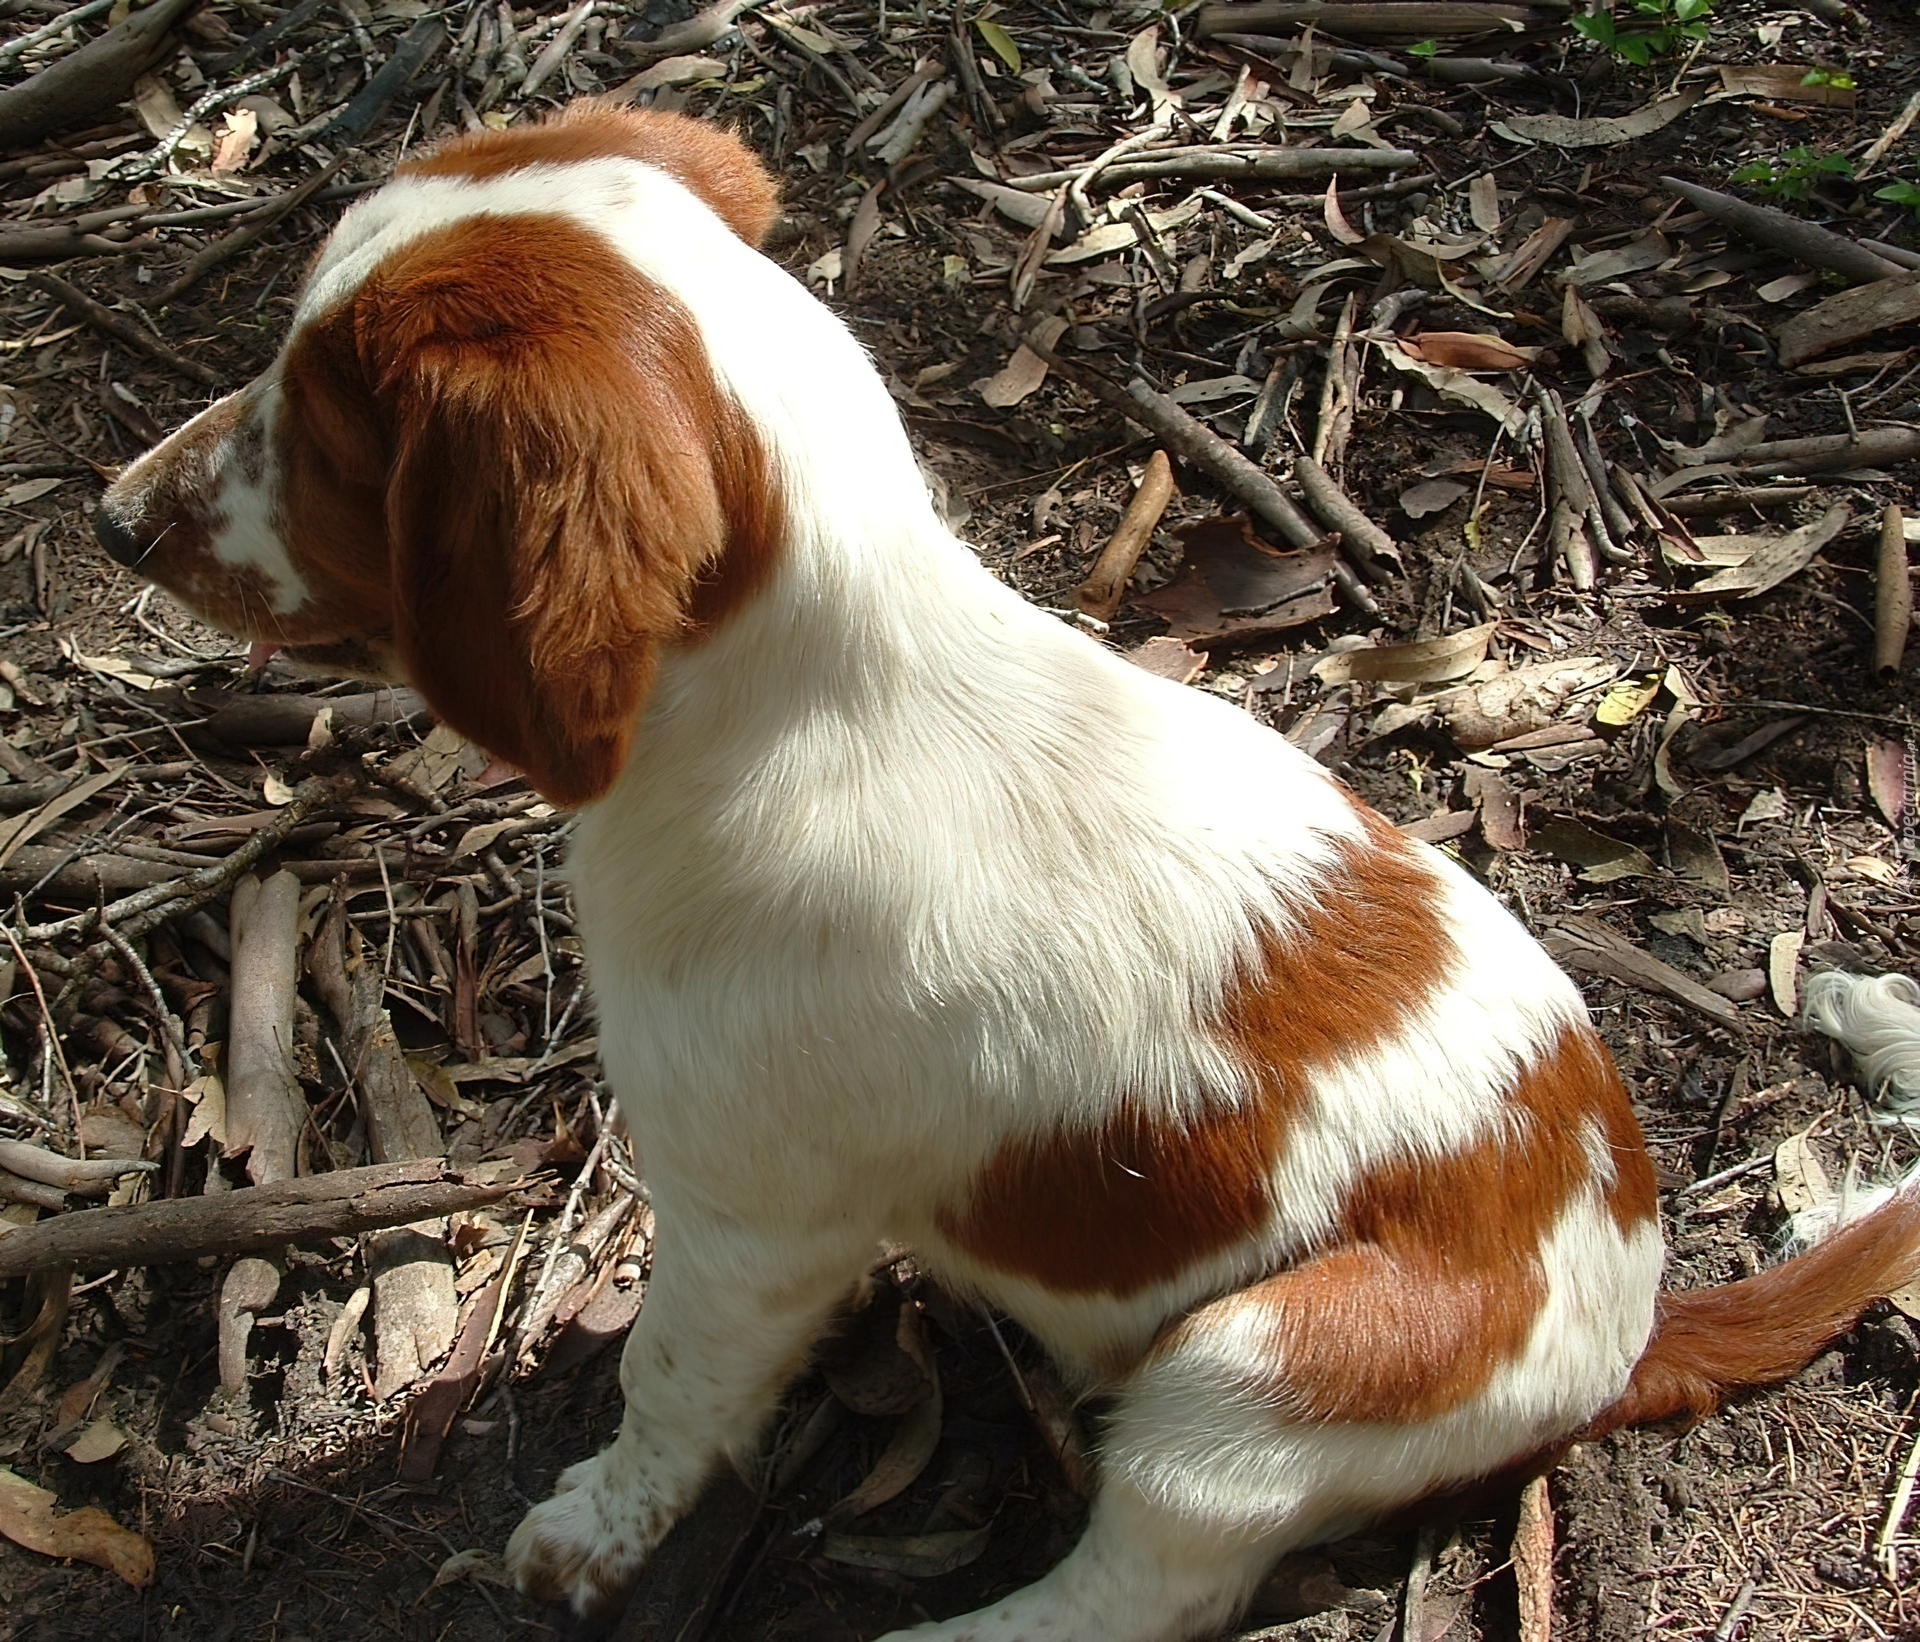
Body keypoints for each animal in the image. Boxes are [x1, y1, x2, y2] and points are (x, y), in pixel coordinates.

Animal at [97, 106, 1920, 1642]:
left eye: (330, 436)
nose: (115, 518)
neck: (809, 694)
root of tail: (1630, 1309)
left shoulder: (749, 1215)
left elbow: (675, 1384)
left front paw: (591, 1526)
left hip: (1254, 1365)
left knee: (1147, 1587)